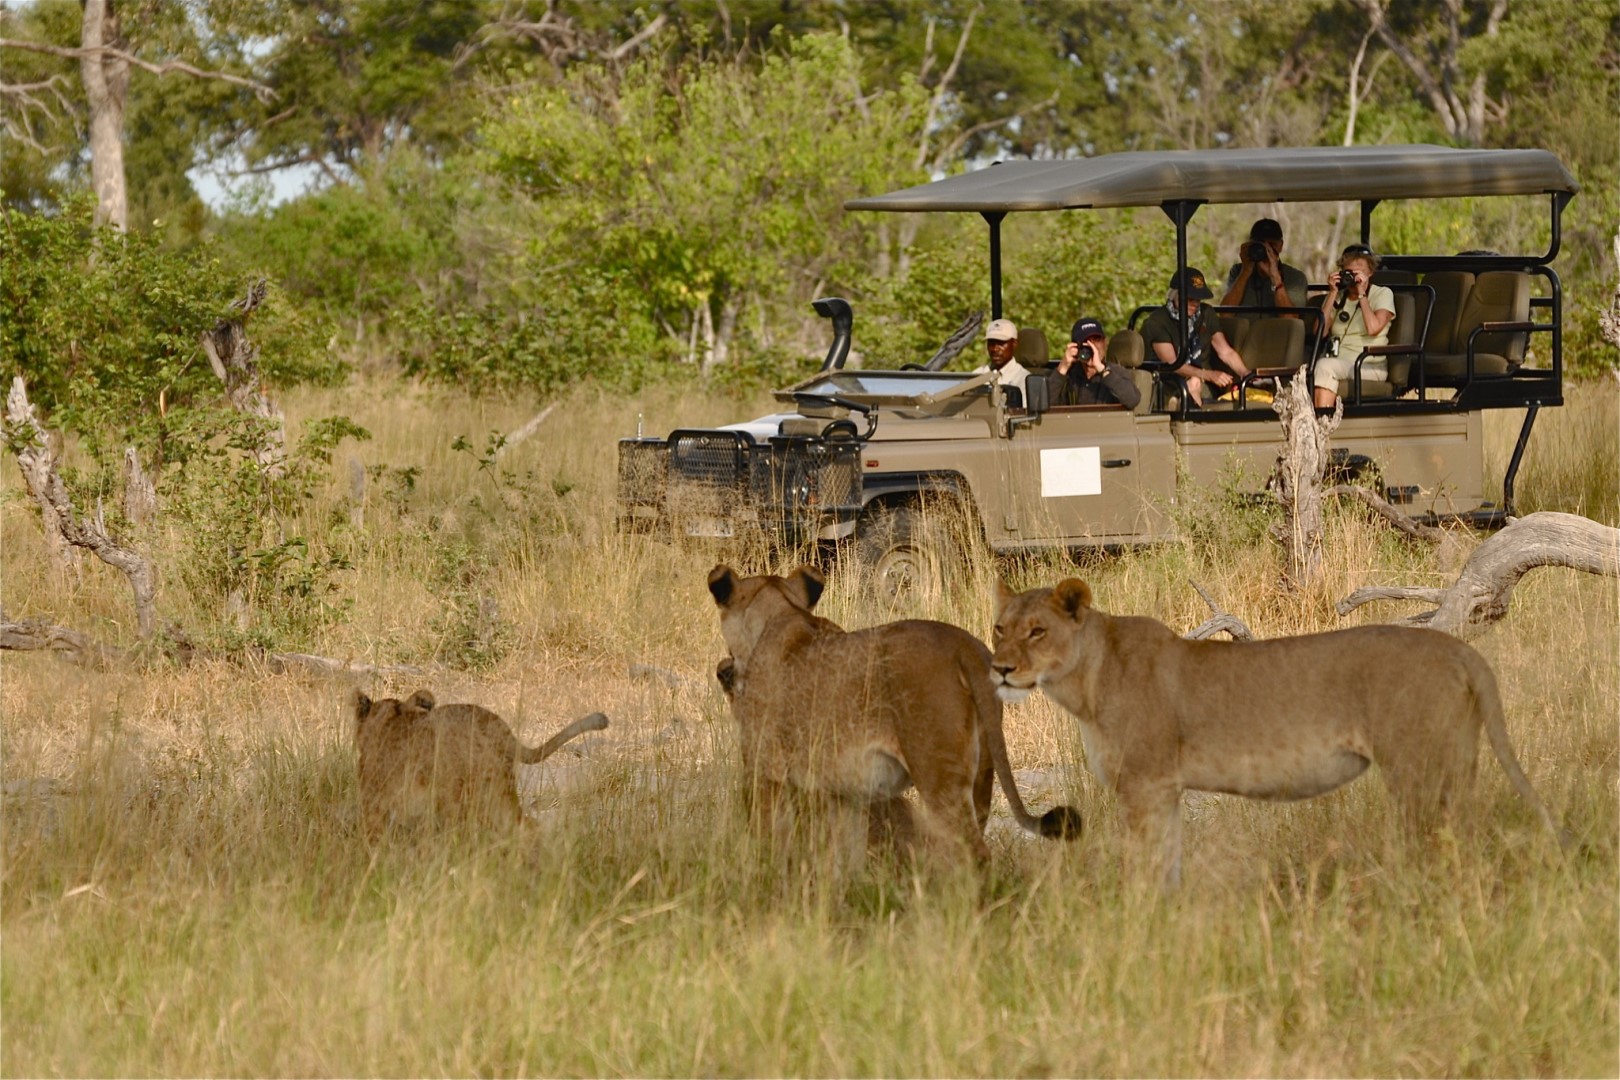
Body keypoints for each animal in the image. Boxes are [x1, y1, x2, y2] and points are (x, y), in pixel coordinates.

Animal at [707, 564, 1081, 867]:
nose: (723, 669)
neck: (780, 614)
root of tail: (961, 643)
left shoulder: (763, 769)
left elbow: (767, 838)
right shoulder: (839, 792)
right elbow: (838, 850)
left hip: (936, 769)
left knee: (972, 852)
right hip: (983, 770)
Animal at [989, 578, 1565, 889]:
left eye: (1037, 631)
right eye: (1000, 628)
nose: (999, 669)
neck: (1084, 681)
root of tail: (1458, 648)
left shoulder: (1143, 785)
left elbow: (1143, 866)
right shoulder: (1165, 789)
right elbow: (1169, 863)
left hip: (1418, 769)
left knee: (1442, 842)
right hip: (1457, 764)